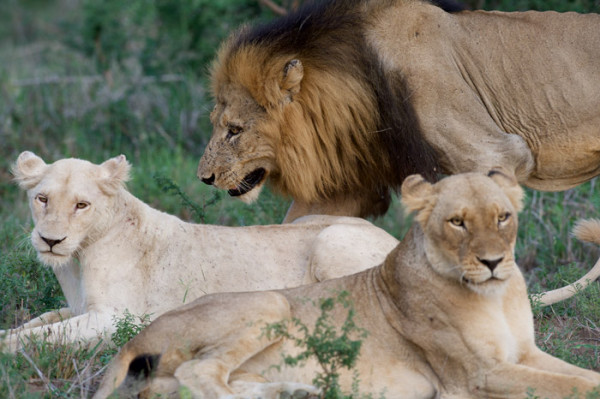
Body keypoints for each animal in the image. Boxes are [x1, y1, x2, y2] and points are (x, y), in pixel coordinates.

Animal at [4, 152, 400, 354]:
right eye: (42, 199)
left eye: (81, 205)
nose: (50, 240)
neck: (76, 260)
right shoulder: (78, 308)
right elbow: (37, 322)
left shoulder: (115, 318)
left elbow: (44, 335)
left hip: (330, 238)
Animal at [92, 172, 600, 399]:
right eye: (457, 221)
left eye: (503, 217)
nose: (493, 262)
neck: (494, 296)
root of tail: (139, 334)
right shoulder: (474, 376)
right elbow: (575, 386)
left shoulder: (524, 354)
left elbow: (583, 375)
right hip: (272, 304)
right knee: (197, 376)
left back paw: (296, 392)